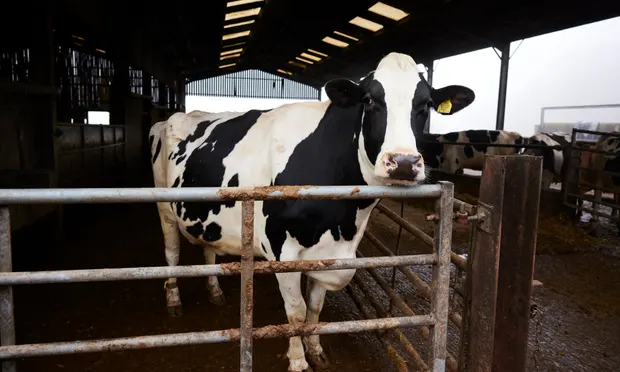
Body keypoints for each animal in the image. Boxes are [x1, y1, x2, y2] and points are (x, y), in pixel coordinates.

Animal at [149, 50, 474, 370]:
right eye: (369, 100)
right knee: (171, 252)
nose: (404, 163)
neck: (344, 217)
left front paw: (316, 349)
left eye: (427, 104)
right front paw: (298, 360)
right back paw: (174, 299)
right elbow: (296, 312)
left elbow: (315, 308)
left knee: (209, 249)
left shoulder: (329, 253)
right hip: (164, 204)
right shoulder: (281, 250)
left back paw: (215, 290)